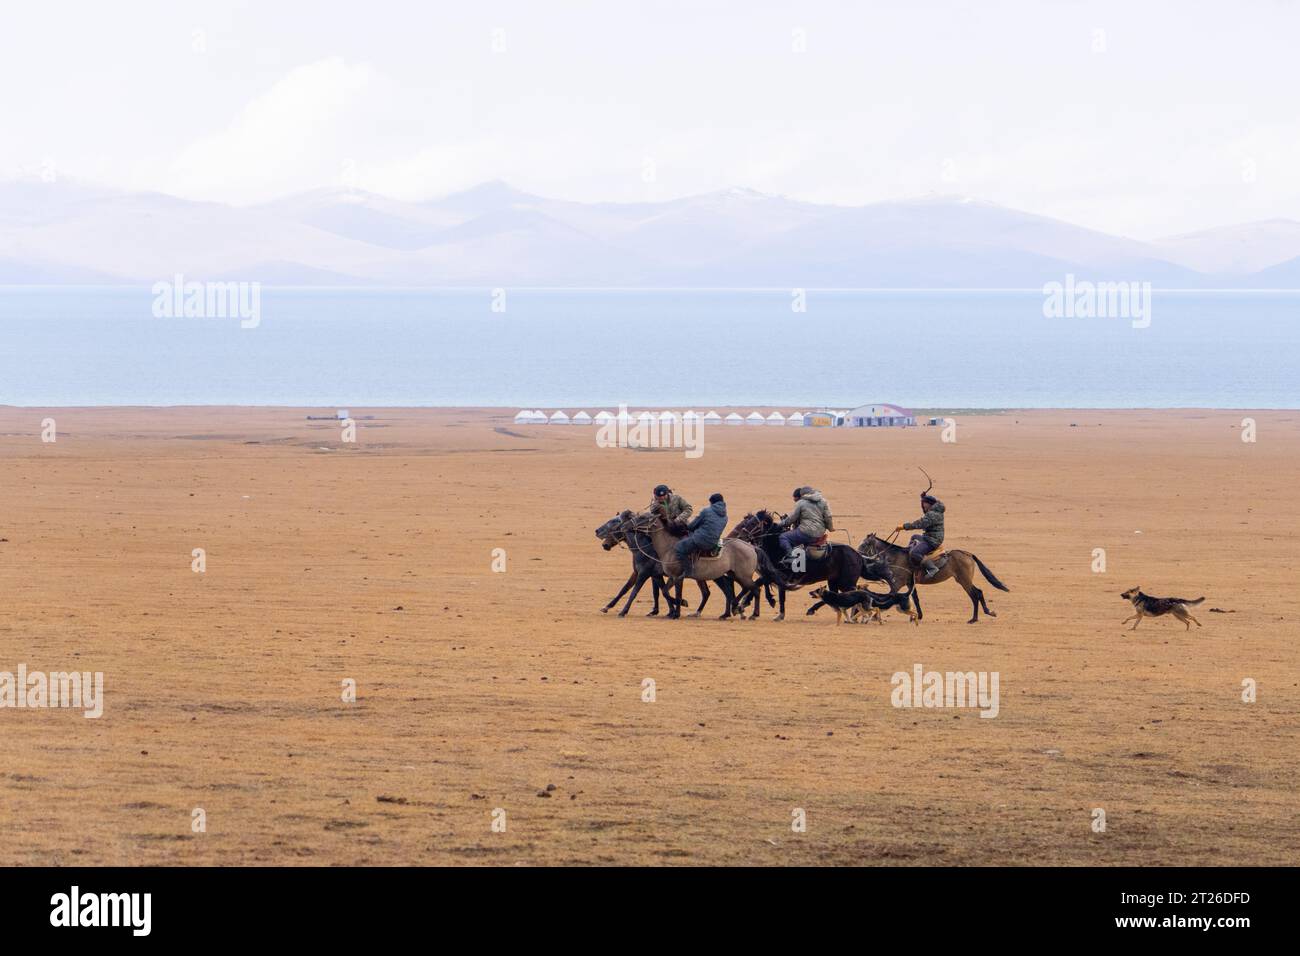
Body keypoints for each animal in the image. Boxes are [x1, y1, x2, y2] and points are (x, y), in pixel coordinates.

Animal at [626, 509, 759, 621]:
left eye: (642, 517)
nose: (627, 525)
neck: (670, 547)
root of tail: (751, 547)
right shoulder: (672, 577)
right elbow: (665, 591)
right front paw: (677, 609)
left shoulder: (678, 576)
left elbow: (677, 594)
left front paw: (678, 611)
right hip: (733, 575)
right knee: (740, 589)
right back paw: (734, 610)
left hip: (742, 576)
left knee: (754, 589)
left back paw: (749, 612)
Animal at [857, 535, 1008, 624]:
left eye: (864, 544)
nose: (857, 554)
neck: (896, 557)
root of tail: (968, 554)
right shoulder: (910, 583)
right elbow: (915, 598)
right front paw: (917, 616)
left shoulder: (897, 583)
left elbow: (889, 596)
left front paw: (875, 615)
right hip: (963, 580)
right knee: (978, 593)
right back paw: (986, 613)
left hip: (964, 580)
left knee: (975, 594)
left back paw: (975, 618)